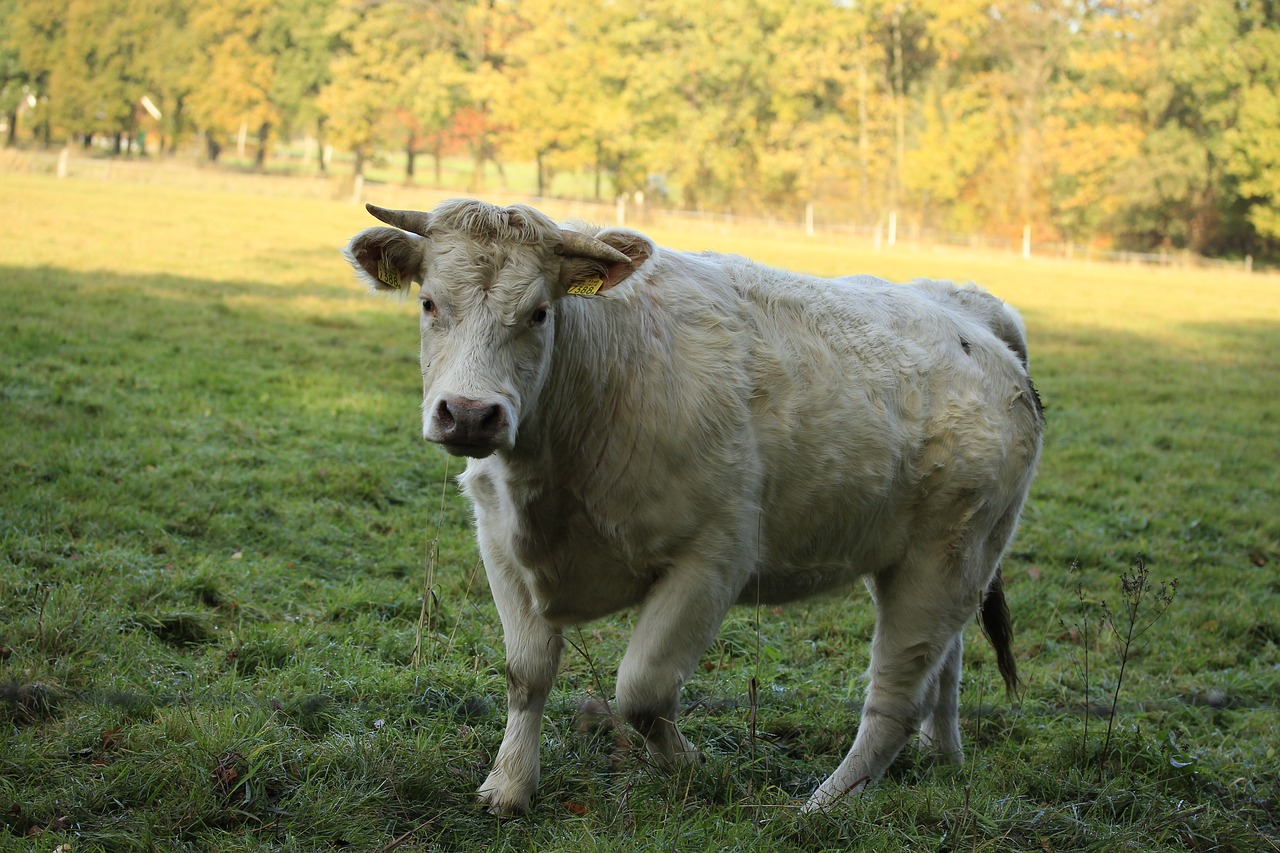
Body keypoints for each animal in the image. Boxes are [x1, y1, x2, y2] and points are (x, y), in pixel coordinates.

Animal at [345, 197, 1044, 809]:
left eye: (540, 313)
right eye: (429, 303)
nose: (469, 414)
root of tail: (968, 309)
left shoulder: (711, 561)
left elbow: (643, 691)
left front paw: (695, 770)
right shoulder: (499, 545)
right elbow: (527, 672)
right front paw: (510, 786)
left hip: (950, 555)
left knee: (896, 699)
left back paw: (822, 807)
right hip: (921, 560)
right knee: (944, 668)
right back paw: (942, 759)